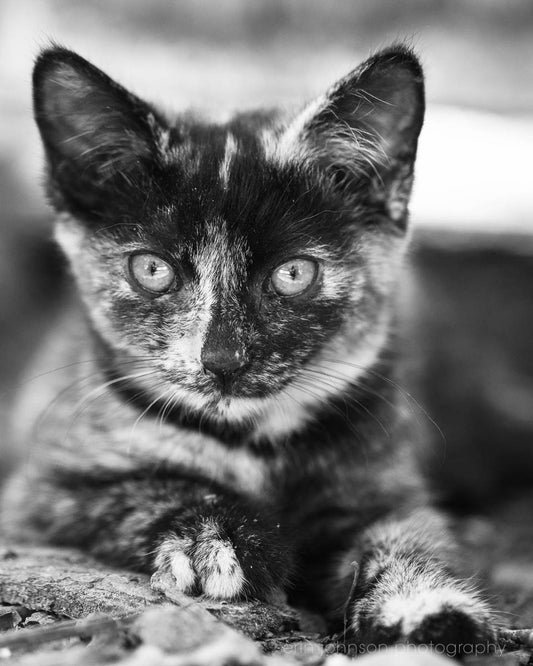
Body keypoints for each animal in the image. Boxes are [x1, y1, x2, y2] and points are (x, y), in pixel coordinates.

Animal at [0, 42, 492, 652]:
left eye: (294, 274)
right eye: (152, 268)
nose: (222, 359)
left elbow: (407, 530)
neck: (255, 440)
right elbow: (145, 487)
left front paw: (423, 598)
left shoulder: (380, 483)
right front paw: (219, 541)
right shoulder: (41, 490)